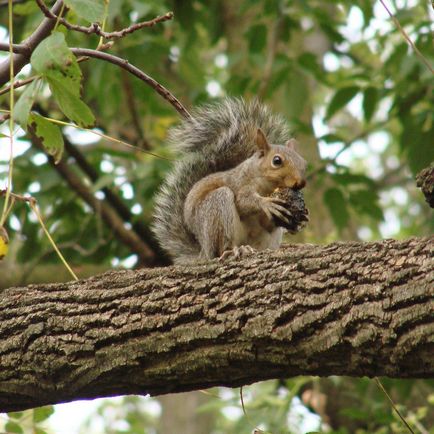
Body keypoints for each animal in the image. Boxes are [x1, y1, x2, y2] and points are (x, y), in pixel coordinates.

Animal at [151, 96, 306, 262]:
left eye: (304, 162)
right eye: (277, 161)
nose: (300, 182)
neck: (267, 185)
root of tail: (204, 251)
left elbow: (267, 222)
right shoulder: (240, 183)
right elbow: (243, 201)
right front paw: (266, 203)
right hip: (217, 208)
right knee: (222, 248)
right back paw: (234, 250)